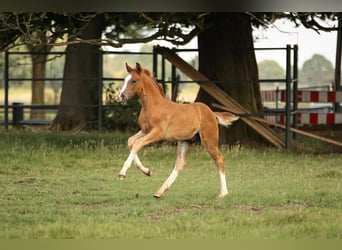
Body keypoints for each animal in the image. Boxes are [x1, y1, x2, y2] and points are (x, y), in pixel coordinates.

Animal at [117, 63, 238, 199]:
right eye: (125, 80)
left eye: (134, 80)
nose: (121, 96)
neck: (153, 106)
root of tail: (212, 113)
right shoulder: (145, 130)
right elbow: (131, 142)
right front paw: (148, 171)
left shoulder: (157, 133)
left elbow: (137, 144)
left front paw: (122, 173)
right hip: (185, 141)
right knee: (180, 164)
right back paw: (159, 192)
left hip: (209, 141)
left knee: (219, 159)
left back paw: (223, 193)